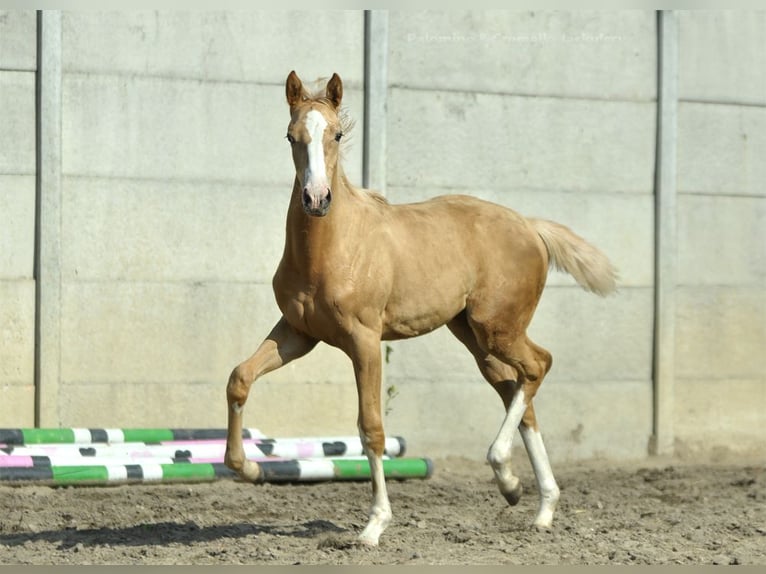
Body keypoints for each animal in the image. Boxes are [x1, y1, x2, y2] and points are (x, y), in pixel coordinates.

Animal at [225, 70, 620, 548]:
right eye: (290, 135)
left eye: (336, 134)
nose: (316, 199)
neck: (332, 247)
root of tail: (530, 225)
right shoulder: (298, 334)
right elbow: (240, 378)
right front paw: (248, 468)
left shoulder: (364, 340)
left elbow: (371, 428)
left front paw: (374, 526)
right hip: (474, 337)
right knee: (517, 389)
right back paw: (530, 499)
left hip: (497, 327)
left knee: (537, 365)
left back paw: (507, 471)